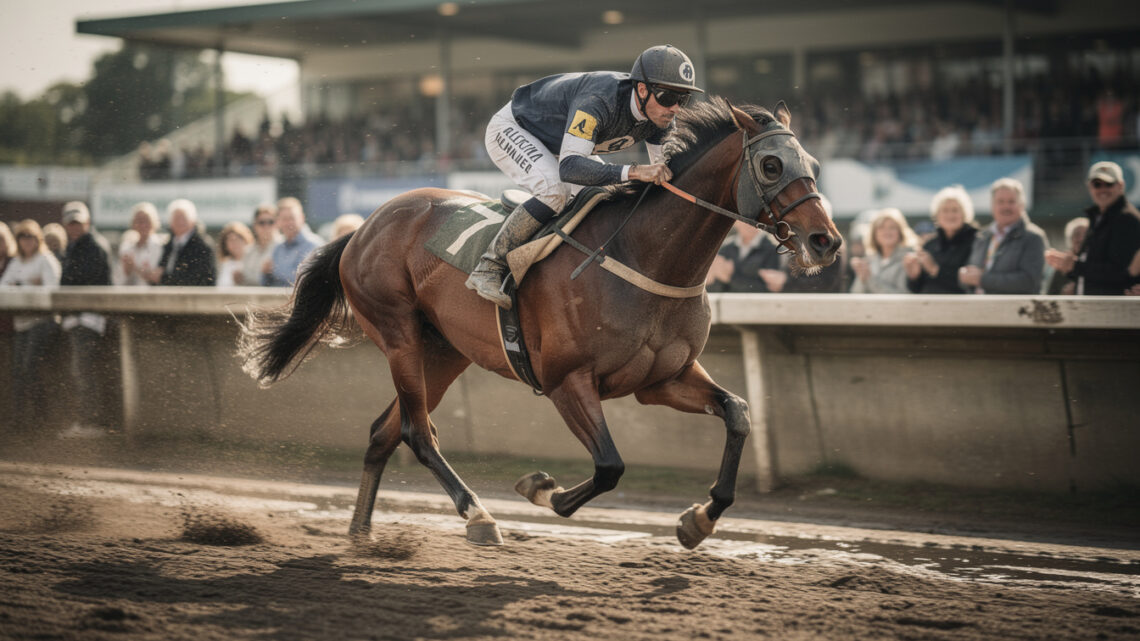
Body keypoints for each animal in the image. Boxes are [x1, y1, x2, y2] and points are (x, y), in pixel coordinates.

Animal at [238, 97, 841, 549]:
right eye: (771, 165)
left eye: (811, 162)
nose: (825, 241)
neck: (643, 256)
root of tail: (362, 228)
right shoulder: (565, 380)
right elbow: (609, 466)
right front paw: (540, 489)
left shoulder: (662, 380)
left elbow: (737, 414)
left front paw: (698, 519)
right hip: (399, 335)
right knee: (416, 431)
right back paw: (478, 517)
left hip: (444, 350)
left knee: (384, 431)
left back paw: (361, 532)